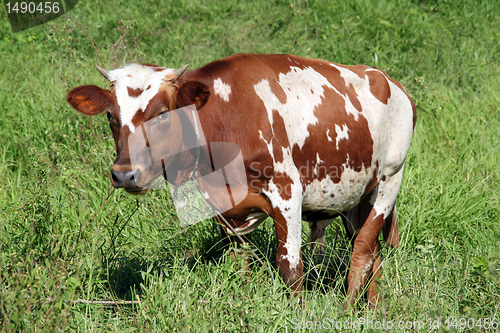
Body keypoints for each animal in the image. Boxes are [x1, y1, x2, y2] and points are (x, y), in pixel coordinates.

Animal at [67, 53, 418, 308]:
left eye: (163, 114)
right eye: (111, 116)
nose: (125, 173)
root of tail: (392, 83)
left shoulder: (287, 191)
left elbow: (290, 267)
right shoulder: (223, 205)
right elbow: (238, 264)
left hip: (389, 180)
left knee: (362, 251)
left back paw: (346, 311)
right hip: (356, 197)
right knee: (373, 253)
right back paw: (372, 310)